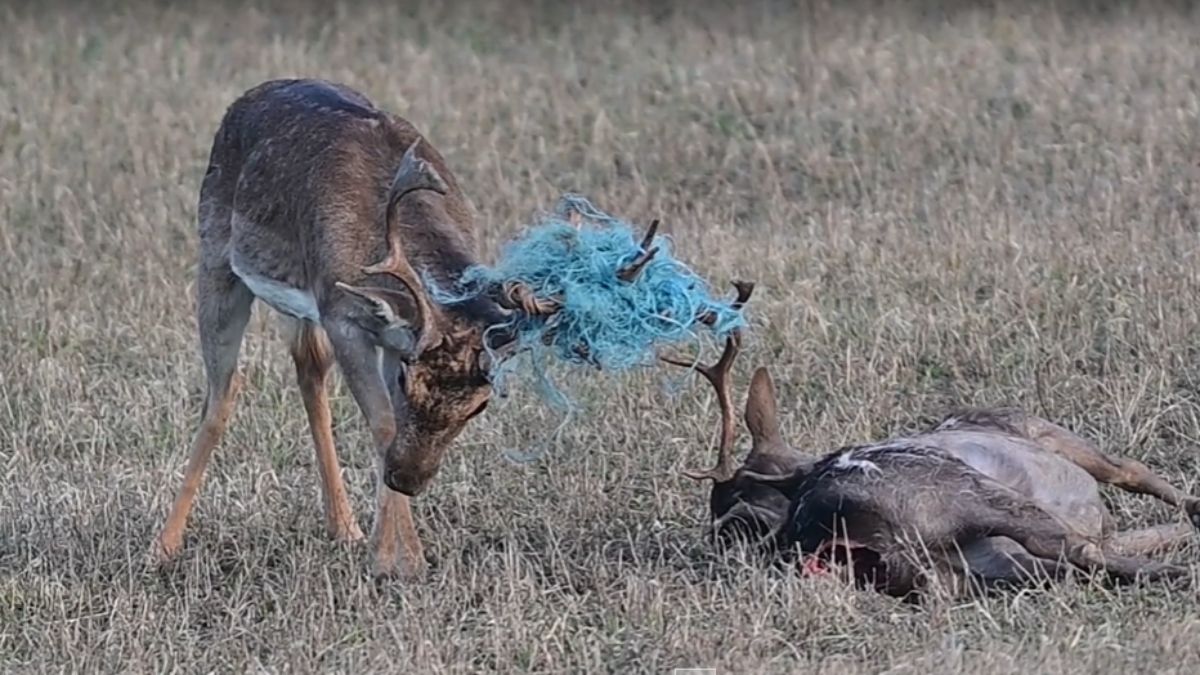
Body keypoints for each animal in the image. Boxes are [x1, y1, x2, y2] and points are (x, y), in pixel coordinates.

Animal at [150, 77, 667, 571]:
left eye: (479, 407)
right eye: (408, 380)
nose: (408, 478)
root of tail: (249, 97)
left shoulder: (392, 336)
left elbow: (383, 422)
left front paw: (391, 550)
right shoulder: (342, 315)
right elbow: (382, 424)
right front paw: (400, 562)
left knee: (308, 370)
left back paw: (345, 527)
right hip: (216, 256)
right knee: (224, 391)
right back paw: (165, 545)